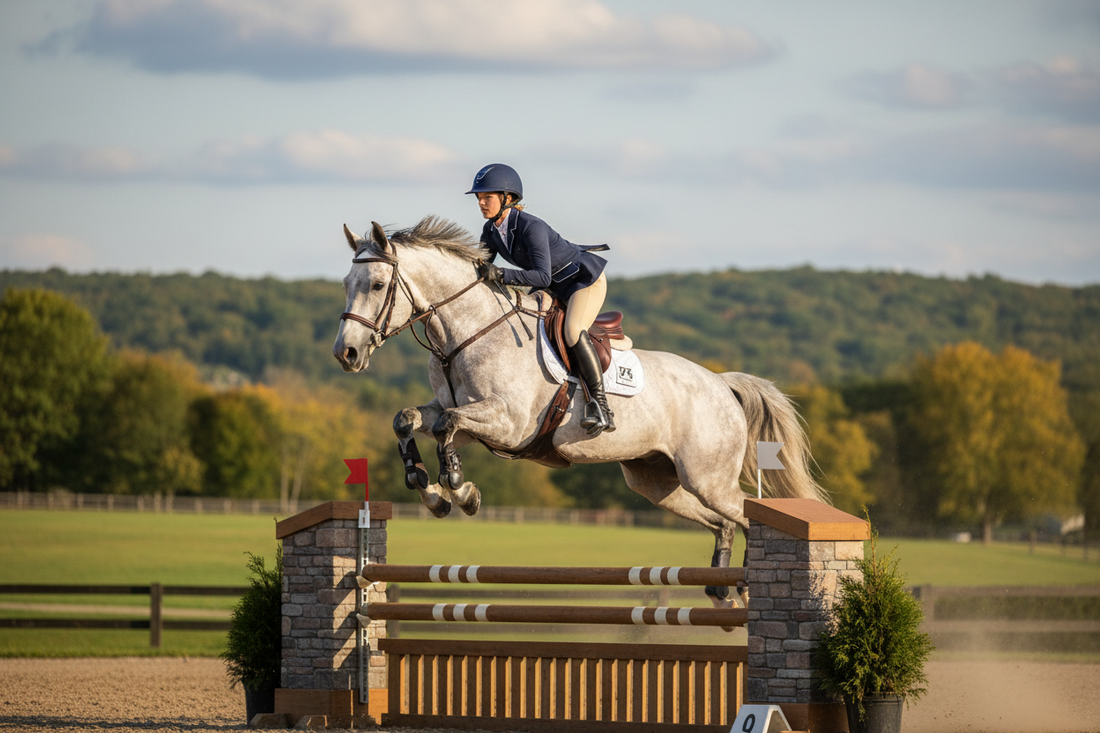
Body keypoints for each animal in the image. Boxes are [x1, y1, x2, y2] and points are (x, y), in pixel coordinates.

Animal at [332, 216, 829, 609]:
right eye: (346, 285)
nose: (346, 354)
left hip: (708, 478)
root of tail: (721, 383)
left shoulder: (508, 423)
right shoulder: (468, 414)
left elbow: (446, 427)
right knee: (723, 523)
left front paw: (460, 489)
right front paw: (430, 490)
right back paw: (723, 591)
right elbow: (410, 419)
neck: (467, 332)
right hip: (657, 482)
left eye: (378, 285)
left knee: (744, 516)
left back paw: (745, 587)